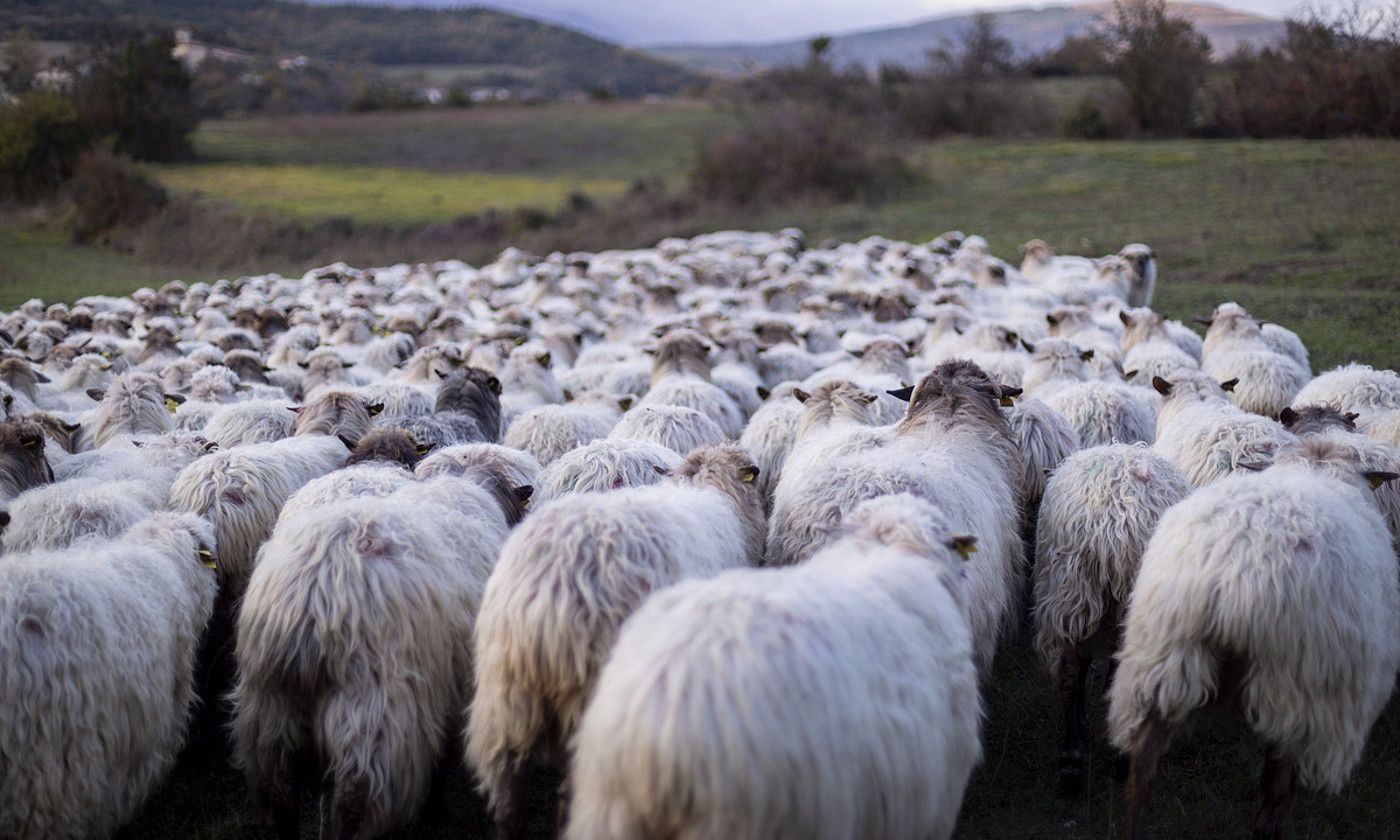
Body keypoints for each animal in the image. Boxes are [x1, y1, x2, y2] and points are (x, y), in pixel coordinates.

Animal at [232, 473, 518, 840]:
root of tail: (313, 593)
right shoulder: (442, 688)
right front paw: (435, 810)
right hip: (374, 705)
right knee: (354, 801)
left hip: (269, 704)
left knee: (279, 793)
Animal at [464, 442, 761, 834]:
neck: (710, 492)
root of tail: (548, 592)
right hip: (588, 698)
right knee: (569, 792)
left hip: (503, 694)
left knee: (505, 797)